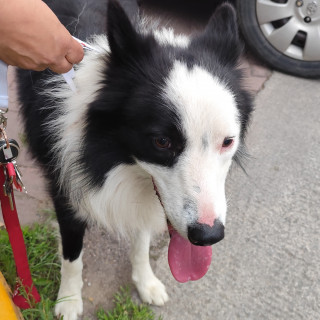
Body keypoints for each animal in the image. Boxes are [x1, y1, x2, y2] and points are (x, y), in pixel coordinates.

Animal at [16, 0, 252, 320]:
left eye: (228, 141)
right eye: (162, 142)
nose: (208, 236)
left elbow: (141, 239)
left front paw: (146, 282)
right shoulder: (64, 182)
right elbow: (72, 254)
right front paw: (68, 300)